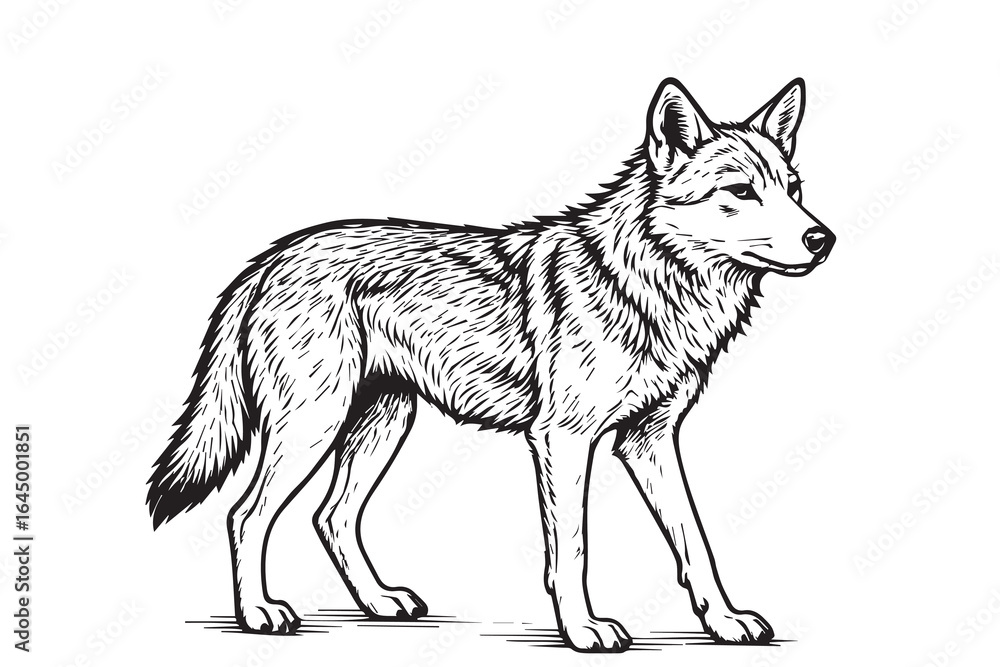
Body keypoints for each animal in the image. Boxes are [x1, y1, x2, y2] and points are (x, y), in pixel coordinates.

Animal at [147, 77, 834, 652]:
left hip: (379, 427)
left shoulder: (651, 441)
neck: (646, 283)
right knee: (245, 515)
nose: (822, 238)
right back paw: (260, 614)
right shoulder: (563, 440)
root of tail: (269, 257)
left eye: (793, 191)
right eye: (741, 192)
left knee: (331, 517)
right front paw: (583, 630)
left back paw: (379, 602)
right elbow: (574, 550)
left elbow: (696, 542)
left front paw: (725, 621)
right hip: (312, 428)